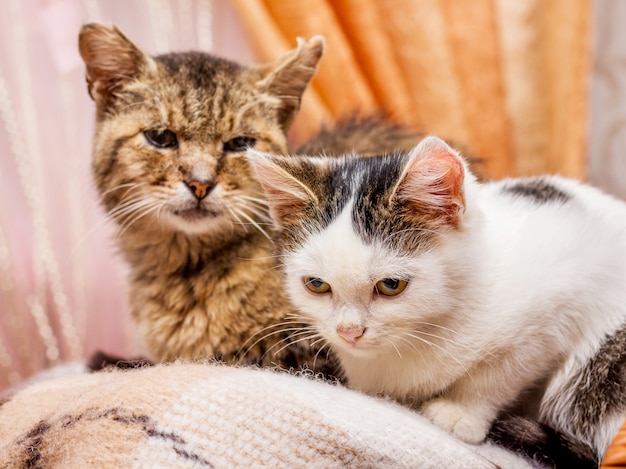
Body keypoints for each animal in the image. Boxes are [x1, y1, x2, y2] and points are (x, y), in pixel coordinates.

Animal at [246, 136, 624, 460]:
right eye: (317, 284)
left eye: (391, 285)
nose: (349, 332)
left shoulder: (562, 300)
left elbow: (499, 373)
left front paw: (461, 411)